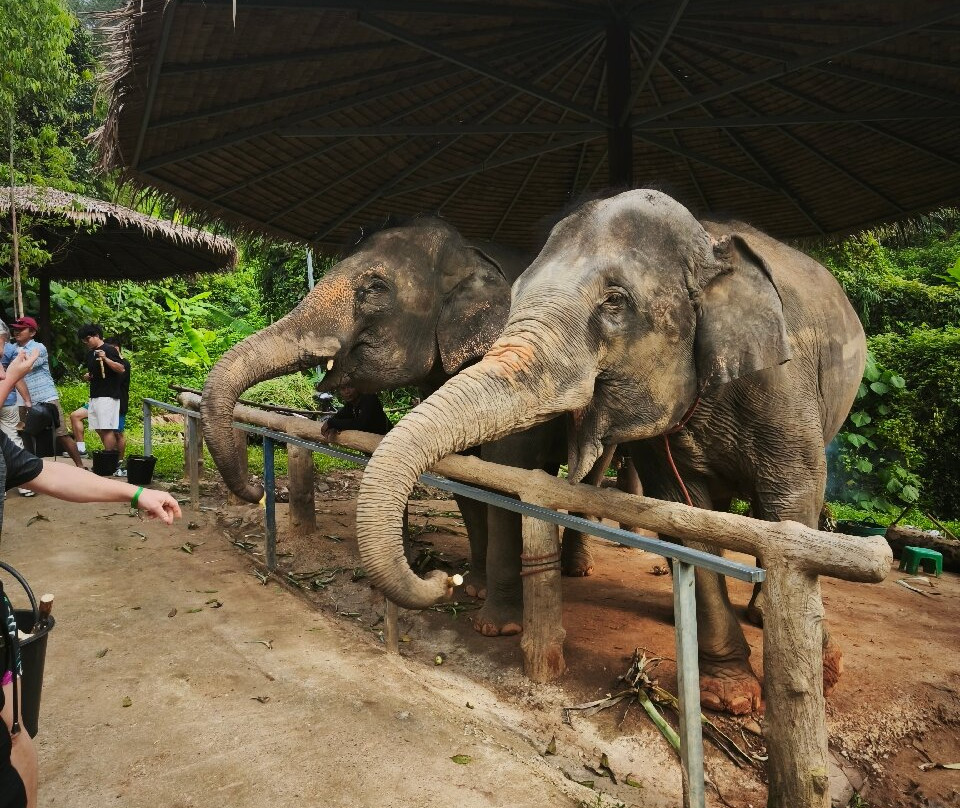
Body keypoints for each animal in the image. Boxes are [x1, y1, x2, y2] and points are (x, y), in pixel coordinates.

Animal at [200, 217, 611, 637]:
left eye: (375, 289)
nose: (259, 491)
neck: (467, 251)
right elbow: (463, 476)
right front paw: (474, 588)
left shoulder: (522, 367)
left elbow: (504, 477)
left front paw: (496, 628)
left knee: (593, 475)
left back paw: (575, 569)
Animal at [354, 189, 867, 716]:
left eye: (614, 301)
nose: (443, 578)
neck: (707, 243)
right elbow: (685, 515)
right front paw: (729, 695)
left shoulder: (784, 385)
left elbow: (791, 500)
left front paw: (820, 674)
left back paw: (762, 614)